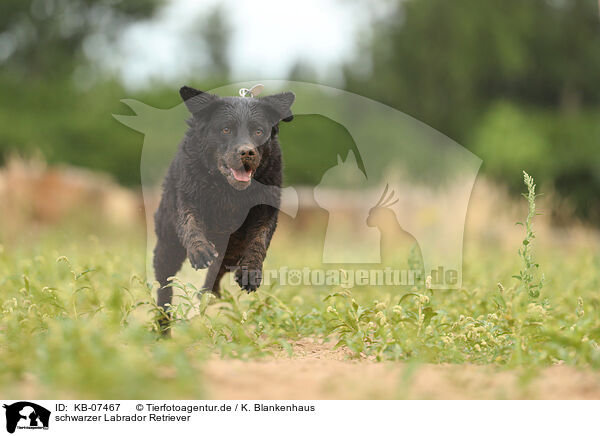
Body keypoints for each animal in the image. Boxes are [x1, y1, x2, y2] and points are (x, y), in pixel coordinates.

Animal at [154, 84, 294, 330]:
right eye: (226, 129)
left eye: (259, 131)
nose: (247, 152)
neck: (229, 192)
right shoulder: (188, 198)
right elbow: (190, 223)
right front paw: (200, 250)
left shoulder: (265, 209)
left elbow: (259, 239)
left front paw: (251, 272)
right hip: (167, 246)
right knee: (164, 287)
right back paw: (164, 325)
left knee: (213, 279)